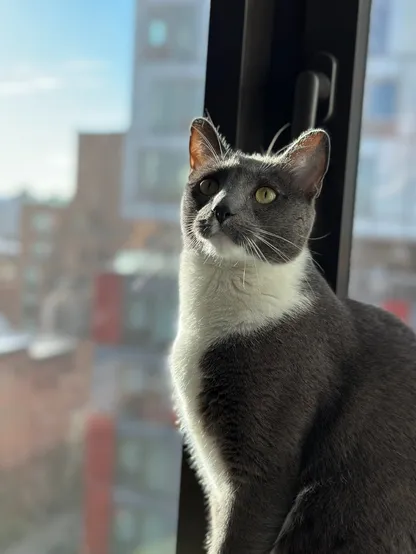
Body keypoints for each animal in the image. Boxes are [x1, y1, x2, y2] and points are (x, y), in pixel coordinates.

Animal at [171, 117, 416, 552]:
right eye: (208, 185)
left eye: (265, 194)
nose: (221, 209)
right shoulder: (215, 480)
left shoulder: (265, 469)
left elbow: (239, 534)